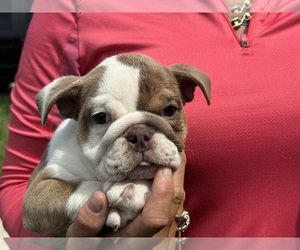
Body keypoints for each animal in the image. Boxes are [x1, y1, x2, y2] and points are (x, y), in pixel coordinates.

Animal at [22, 53, 210, 234]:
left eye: (170, 110)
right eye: (100, 117)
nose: (139, 133)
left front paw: (133, 186)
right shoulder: (37, 194)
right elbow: (78, 187)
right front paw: (125, 189)